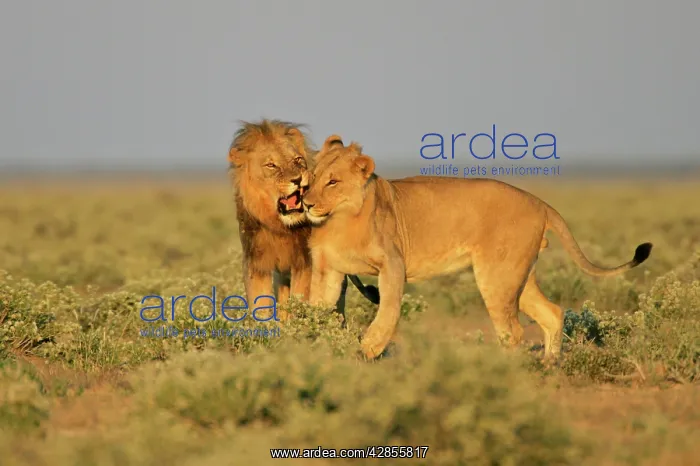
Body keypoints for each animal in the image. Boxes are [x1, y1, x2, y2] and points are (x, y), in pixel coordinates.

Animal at [227, 120, 379, 320]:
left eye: (298, 160)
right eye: (271, 165)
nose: (298, 179)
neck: (280, 227)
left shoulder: (306, 263)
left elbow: (300, 300)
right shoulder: (257, 263)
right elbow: (260, 305)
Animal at [303, 134, 653, 360]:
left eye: (333, 181)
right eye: (311, 176)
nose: (305, 202)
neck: (340, 219)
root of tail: (540, 203)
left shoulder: (393, 263)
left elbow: (387, 310)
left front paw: (367, 350)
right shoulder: (328, 269)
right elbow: (317, 307)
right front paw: (307, 339)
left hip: (496, 276)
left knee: (513, 332)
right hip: (517, 275)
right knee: (552, 313)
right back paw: (549, 366)